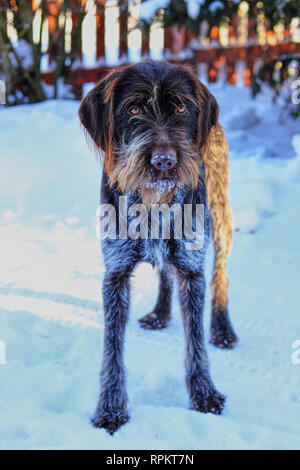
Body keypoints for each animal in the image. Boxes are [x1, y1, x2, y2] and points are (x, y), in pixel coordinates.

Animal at [78, 58, 238, 434]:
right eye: (134, 109)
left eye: (180, 107)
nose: (164, 161)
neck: (154, 205)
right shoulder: (116, 274)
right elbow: (112, 349)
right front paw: (110, 407)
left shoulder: (192, 270)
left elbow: (195, 342)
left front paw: (204, 394)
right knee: (165, 272)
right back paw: (161, 313)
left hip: (220, 216)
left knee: (220, 273)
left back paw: (223, 328)